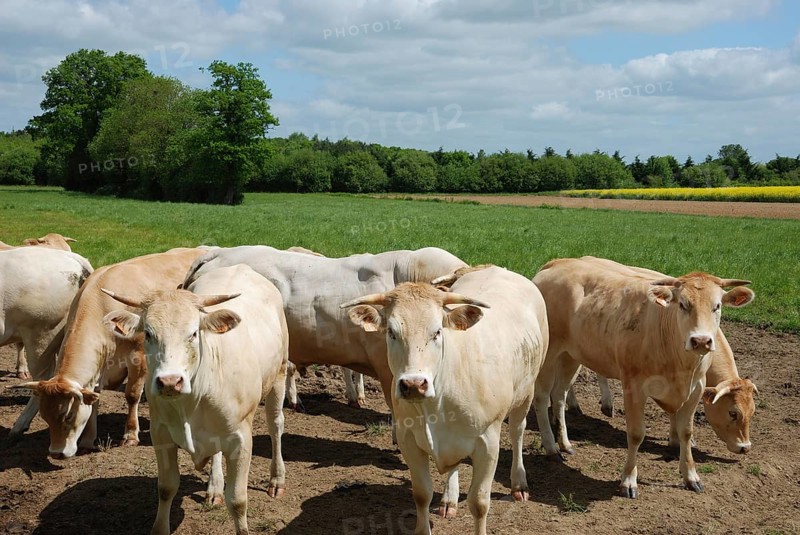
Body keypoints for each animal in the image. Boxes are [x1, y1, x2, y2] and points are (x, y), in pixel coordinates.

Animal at [13, 247, 206, 458]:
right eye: (44, 416)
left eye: (68, 415)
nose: (56, 453)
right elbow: (94, 399)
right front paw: (88, 440)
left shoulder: (139, 357)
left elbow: (132, 395)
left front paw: (130, 435)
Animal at [102, 263, 288, 535]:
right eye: (148, 333)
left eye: (193, 333)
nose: (170, 381)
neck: (191, 402)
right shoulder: (161, 434)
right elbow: (166, 488)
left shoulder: (241, 440)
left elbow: (238, 501)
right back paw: (215, 486)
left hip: (280, 373)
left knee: (275, 425)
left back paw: (276, 478)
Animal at [341, 265, 549, 535]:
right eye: (391, 332)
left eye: (437, 331)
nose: (413, 384)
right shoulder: (409, 440)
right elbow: (421, 494)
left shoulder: (488, 443)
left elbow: (479, 503)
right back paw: (449, 499)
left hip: (527, 390)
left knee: (517, 431)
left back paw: (519, 483)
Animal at [532, 256, 754, 498]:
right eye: (683, 304)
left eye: (717, 306)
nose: (701, 341)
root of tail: (557, 263)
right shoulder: (634, 386)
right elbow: (636, 433)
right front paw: (628, 480)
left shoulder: (696, 388)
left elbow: (686, 432)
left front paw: (691, 476)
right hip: (549, 353)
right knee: (542, 398)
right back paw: (552, 447)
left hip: (571, 355)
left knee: (559, 395)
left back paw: (565, 443)